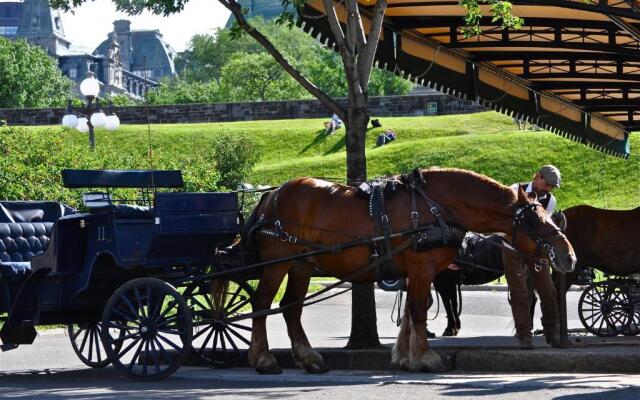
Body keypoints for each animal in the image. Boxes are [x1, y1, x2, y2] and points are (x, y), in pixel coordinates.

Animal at [245, 167, 576, 374]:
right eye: (537, 222)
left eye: (549, 214)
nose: (569, 256)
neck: (436, 208)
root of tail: (272, 195)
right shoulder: (421, 269)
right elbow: (417, 310)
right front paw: (425, 357)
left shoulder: (415, 273)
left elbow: (410, 314)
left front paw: (405, 356)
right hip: (276, 264)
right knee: (262, 304)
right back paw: (263, 359)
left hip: (301, 265)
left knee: (291, 308)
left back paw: (309, 358)